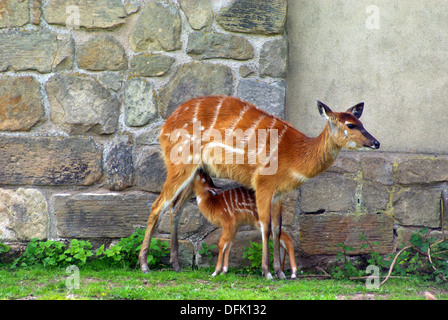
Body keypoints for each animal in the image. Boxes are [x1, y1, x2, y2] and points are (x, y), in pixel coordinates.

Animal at [138, 94, 380, 278]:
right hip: (180, 165)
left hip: (195, 172)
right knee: (157, 205)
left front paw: (280, 272)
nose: (376, 143)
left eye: (362, 123)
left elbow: (278, 227)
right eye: (350, 125)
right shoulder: (263, 183)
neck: (296, 154)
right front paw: (268, 272)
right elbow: (265, 225)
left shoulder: (279, 193)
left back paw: (176, 265)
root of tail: (164, 128)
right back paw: (144, 265)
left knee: (175, 208)